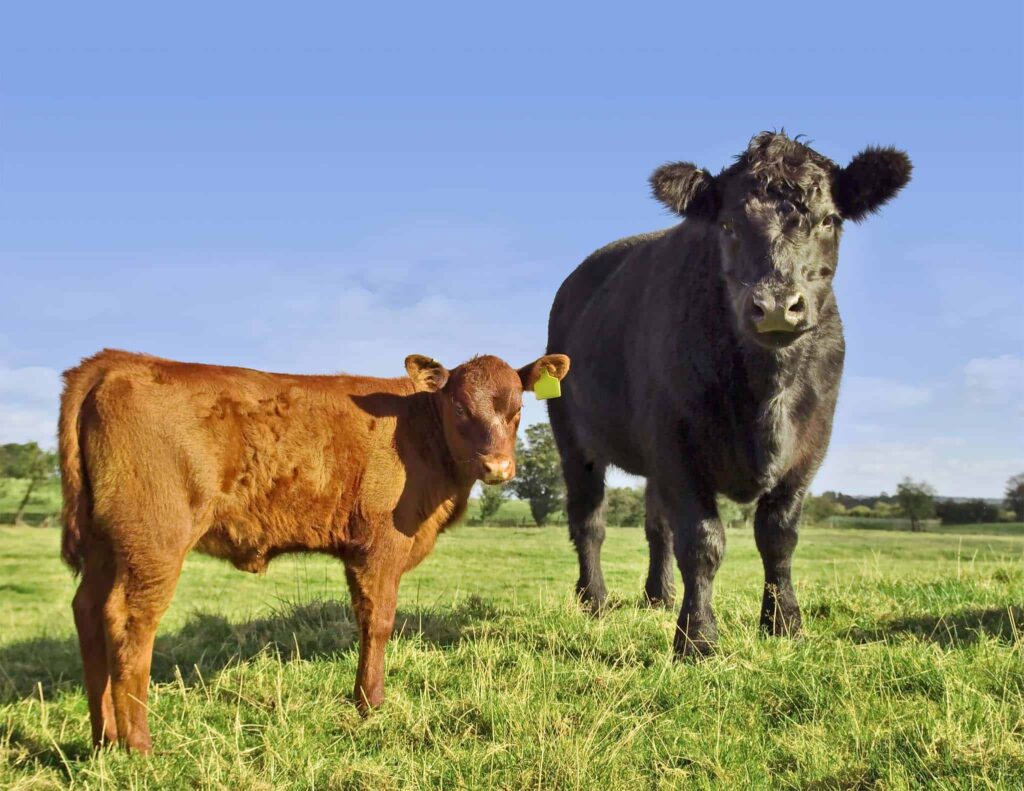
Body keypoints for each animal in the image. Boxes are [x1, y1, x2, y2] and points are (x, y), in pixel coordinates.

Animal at [59, 348, 570, 752]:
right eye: (459, 408)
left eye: (517, 409)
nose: (498, 466)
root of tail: (117, 360)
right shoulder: (381, 546)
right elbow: (380, 622)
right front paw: (371, 704)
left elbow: (364, 619)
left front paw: (363, 699)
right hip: (154, 541)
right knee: (129, 622)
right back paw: (138, 745)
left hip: (107, 544)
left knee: (87, 611)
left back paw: (103, 739)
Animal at [546, 131, 911, 656]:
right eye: (727, 224)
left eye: (829, 219)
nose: (777, 305)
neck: (764, 395)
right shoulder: (676, 446)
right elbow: (702, 543)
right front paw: (697, 638)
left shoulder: (810, 446)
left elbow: (778, 536)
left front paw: (784, 623)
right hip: (575, 441)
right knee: (589, 522)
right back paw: (594, 599)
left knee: (656, 527)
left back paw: (659, 596)